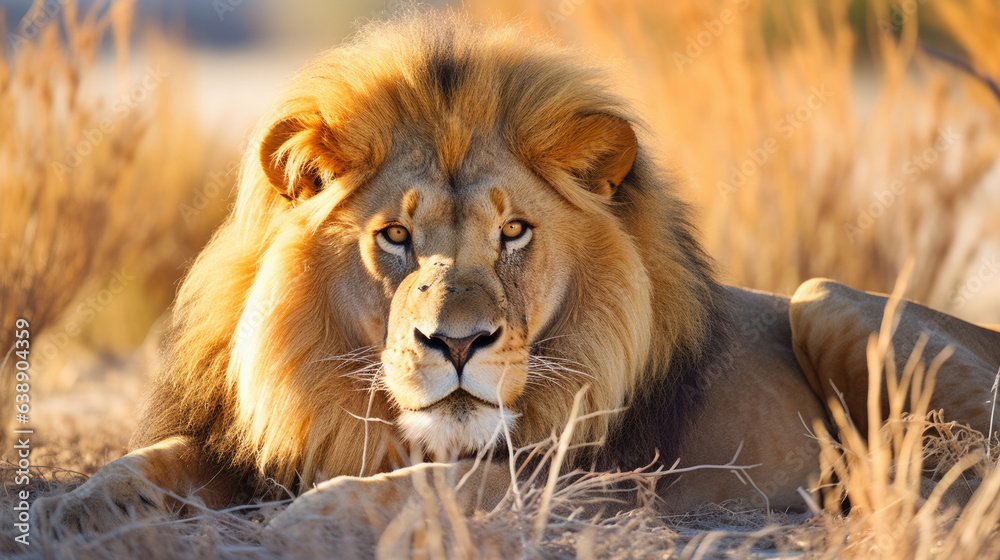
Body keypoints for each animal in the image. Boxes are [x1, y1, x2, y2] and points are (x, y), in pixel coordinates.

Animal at [32, 13, 1000, 540]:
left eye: (514, 232)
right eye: (394, 237)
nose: (457, 344)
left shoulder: (574, 481)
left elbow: (425, 486)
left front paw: (309, 521)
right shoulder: (254, 442)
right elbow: (139, 467)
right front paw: (72, 514)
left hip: (823, 301)